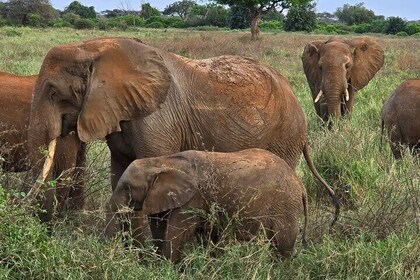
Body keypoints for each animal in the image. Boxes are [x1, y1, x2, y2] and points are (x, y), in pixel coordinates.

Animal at [107, 149, 308, 262]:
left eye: (127, 187)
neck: (161, 161)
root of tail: (300, 185)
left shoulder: (193, 197)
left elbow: (177, 233)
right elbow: (208, 237)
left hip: (285, 205)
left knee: (282, 246)